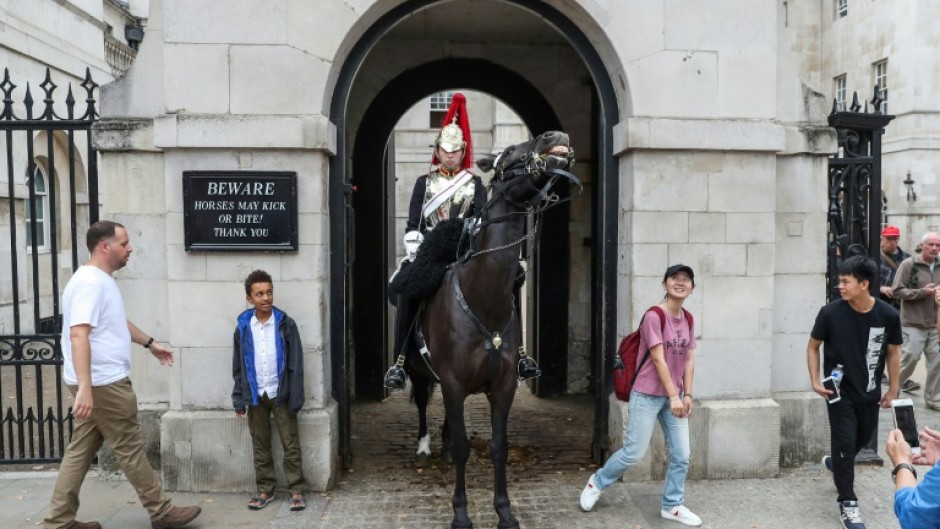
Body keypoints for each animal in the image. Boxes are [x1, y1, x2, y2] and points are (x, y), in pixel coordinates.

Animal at [402, 131, 576, 528]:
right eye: (510, 152)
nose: (555, 136)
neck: (482, 299)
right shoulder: (452, 382)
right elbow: (464, 448)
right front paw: (461, 514)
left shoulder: (503, 386)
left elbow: (498, 447)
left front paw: (504, 511)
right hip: (419, 371)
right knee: (422, 403)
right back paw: (424, 445)